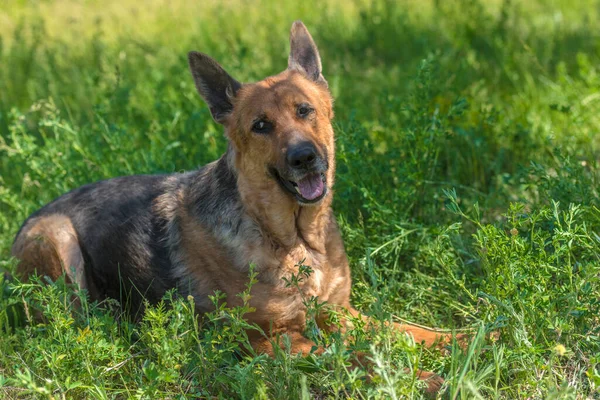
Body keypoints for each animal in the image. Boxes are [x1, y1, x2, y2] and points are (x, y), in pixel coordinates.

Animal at [12, 21, 464, 394]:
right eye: (260, 126)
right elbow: (355, 358)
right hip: (56, 237)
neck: (292, 239)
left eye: (305, 111)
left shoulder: (340, 313)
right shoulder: (274, 339)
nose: (304, 158)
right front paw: (418, 378)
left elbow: (404, 329)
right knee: (77, 320)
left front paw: (465, 340)